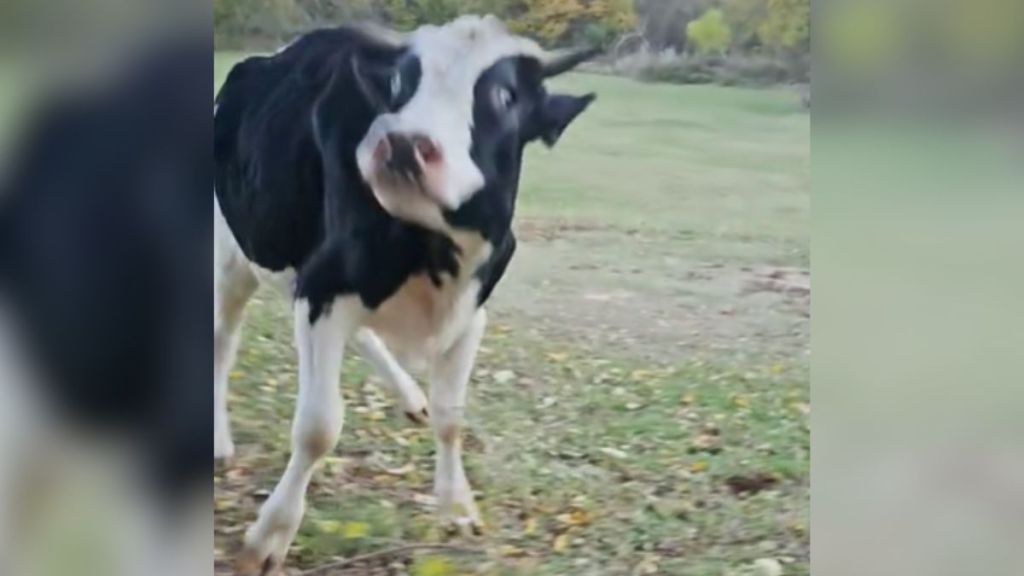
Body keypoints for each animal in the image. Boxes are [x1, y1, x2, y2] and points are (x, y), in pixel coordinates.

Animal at [216, 14, 598, 569]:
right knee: (221, 343)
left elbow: (451, 417)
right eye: (400, 83)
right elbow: (317, 427)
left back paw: (411, 396)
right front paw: (270, 536)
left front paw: (457, 506)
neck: (433, 252)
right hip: (230, 255)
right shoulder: (322, 288)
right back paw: (218, 440)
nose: (400, 143)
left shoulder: (471, 311)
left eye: (505, 95)